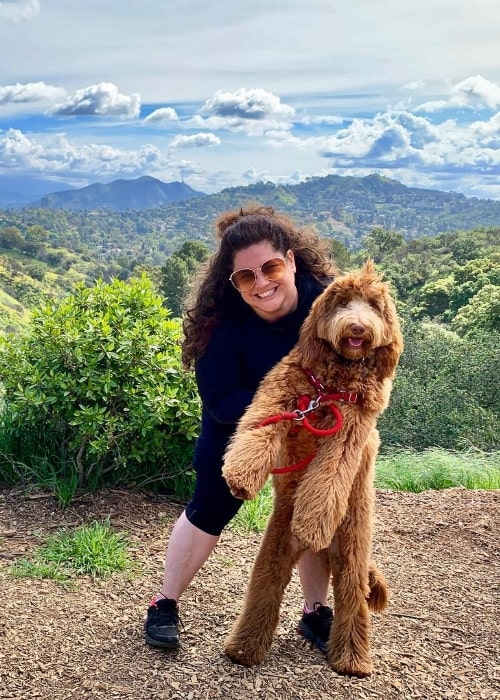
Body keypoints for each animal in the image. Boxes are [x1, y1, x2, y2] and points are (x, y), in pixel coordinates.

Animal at [221, 260, 404, 676]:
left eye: (373, 306)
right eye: (341, 303)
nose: (357, 327)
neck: (332, 384)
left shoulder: (351, 428)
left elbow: (331, 471)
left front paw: (313, 519)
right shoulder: (280, 393)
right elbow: (257, 426)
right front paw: (240, 475)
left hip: (353, 553)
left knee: (353, 602)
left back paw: (352, 659)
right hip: (274, 551)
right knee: (264, 590)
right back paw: (244, 649)